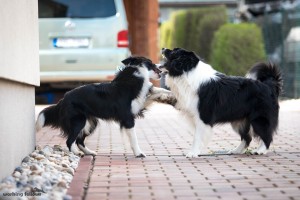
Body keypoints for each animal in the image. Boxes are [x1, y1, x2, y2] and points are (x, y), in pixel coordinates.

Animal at [36, 56, 175, 158]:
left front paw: (170, 93)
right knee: (70, 140)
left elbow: (158, 92)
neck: (136, 75)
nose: (160, 65)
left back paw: (89, 152)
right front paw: (139, 153)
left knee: (79, 141)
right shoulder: (128, 118)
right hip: (79, 121)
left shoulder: (138, 106)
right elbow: (134, 138)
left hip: (91, 123)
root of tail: (63, 99)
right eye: (150, 63)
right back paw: (76, 153)